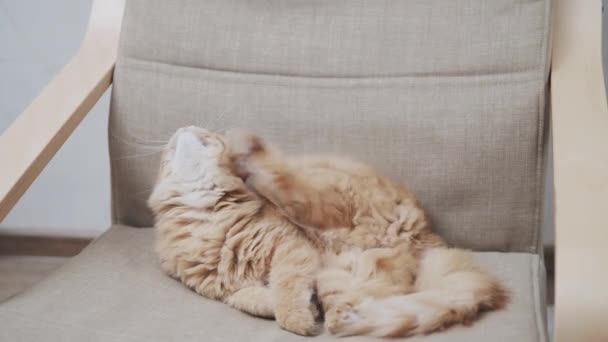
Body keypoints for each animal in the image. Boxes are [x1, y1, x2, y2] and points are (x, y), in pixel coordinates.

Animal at [148, 125, 508, 336]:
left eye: (206, 134)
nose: (185, 126)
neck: (205, 216)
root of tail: (429, 236)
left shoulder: (289, 247)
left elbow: (286, 292)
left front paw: (297, 318)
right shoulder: (223, 288)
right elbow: (253, 300)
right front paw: (300, 310)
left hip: (323, 199)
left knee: (286, 184)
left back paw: (251, 150)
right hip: (342, 273)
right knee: (351, 310)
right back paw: (347, 317)